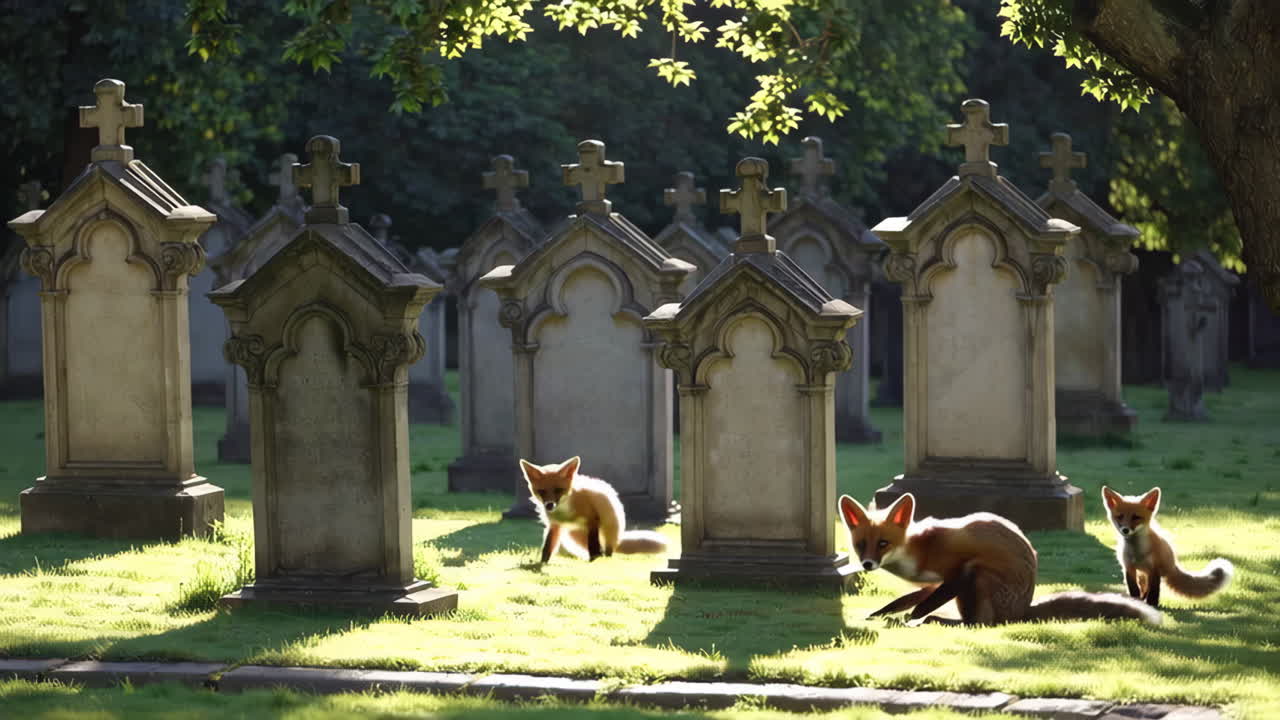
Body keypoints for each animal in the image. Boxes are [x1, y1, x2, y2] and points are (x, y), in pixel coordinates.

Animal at [519, 456, 668, 564]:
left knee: (607, 550)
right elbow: (548, 547)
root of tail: (618, 539)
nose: (549, 505)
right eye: (542, 492)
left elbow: (593, 545)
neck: (565, 513)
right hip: (573, 537)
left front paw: (594, 561)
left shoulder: (592, 520)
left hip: (608, 527)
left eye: (558, 490)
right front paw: (541, 564)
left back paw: (604, 558)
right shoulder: (555, 525)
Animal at [838, 493, 1161, 626]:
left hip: (980, 577)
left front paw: (912, 619)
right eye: (861, 545)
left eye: (883, 543)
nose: (867, 565)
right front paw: (879, 614)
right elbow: (904, 600)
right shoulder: (934, 582)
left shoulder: (958, 570)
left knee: (980, 624)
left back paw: (941, 621)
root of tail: (1022, 611)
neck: (919, 549)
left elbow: (921, 606)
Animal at [1101, 486, 1234, 608]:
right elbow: (1134, 590)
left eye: (1136, 517)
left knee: (1148, 590)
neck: (1137, 553)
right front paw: (1136, 602)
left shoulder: (1154, 570)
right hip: (1142, 575)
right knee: (1142, 589)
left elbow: (1153, 594)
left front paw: (1152, 606)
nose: (1125, 530)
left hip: (1152, 572)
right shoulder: (1129, 568)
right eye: (1120, 516)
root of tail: (1173, 562)